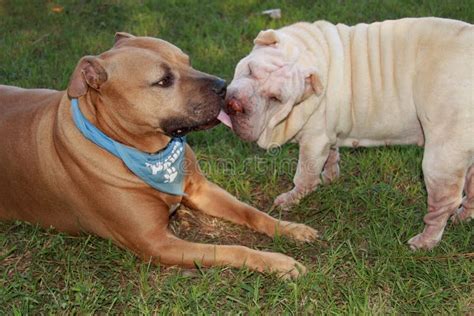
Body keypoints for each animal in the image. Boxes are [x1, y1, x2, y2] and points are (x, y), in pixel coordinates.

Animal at [0, 33, 318, 278]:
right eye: (164, 80)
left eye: (187, 61)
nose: (224, 86)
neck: (148, 152)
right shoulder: (158, 244)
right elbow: (230, 249)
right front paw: (277, 262)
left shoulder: (201, 190)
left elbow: (252, 212)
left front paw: (289, 228)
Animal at [221, 17, 474, 251]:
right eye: (250, 70)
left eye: (275, 98)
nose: (235, 104)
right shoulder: (326, 136)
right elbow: (331, 156)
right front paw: (330, 177)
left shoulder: (313, 141)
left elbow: (304, 176)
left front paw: (290, 200)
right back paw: (463, 217)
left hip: (441, 157)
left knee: (444, 203)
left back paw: (425, 241)